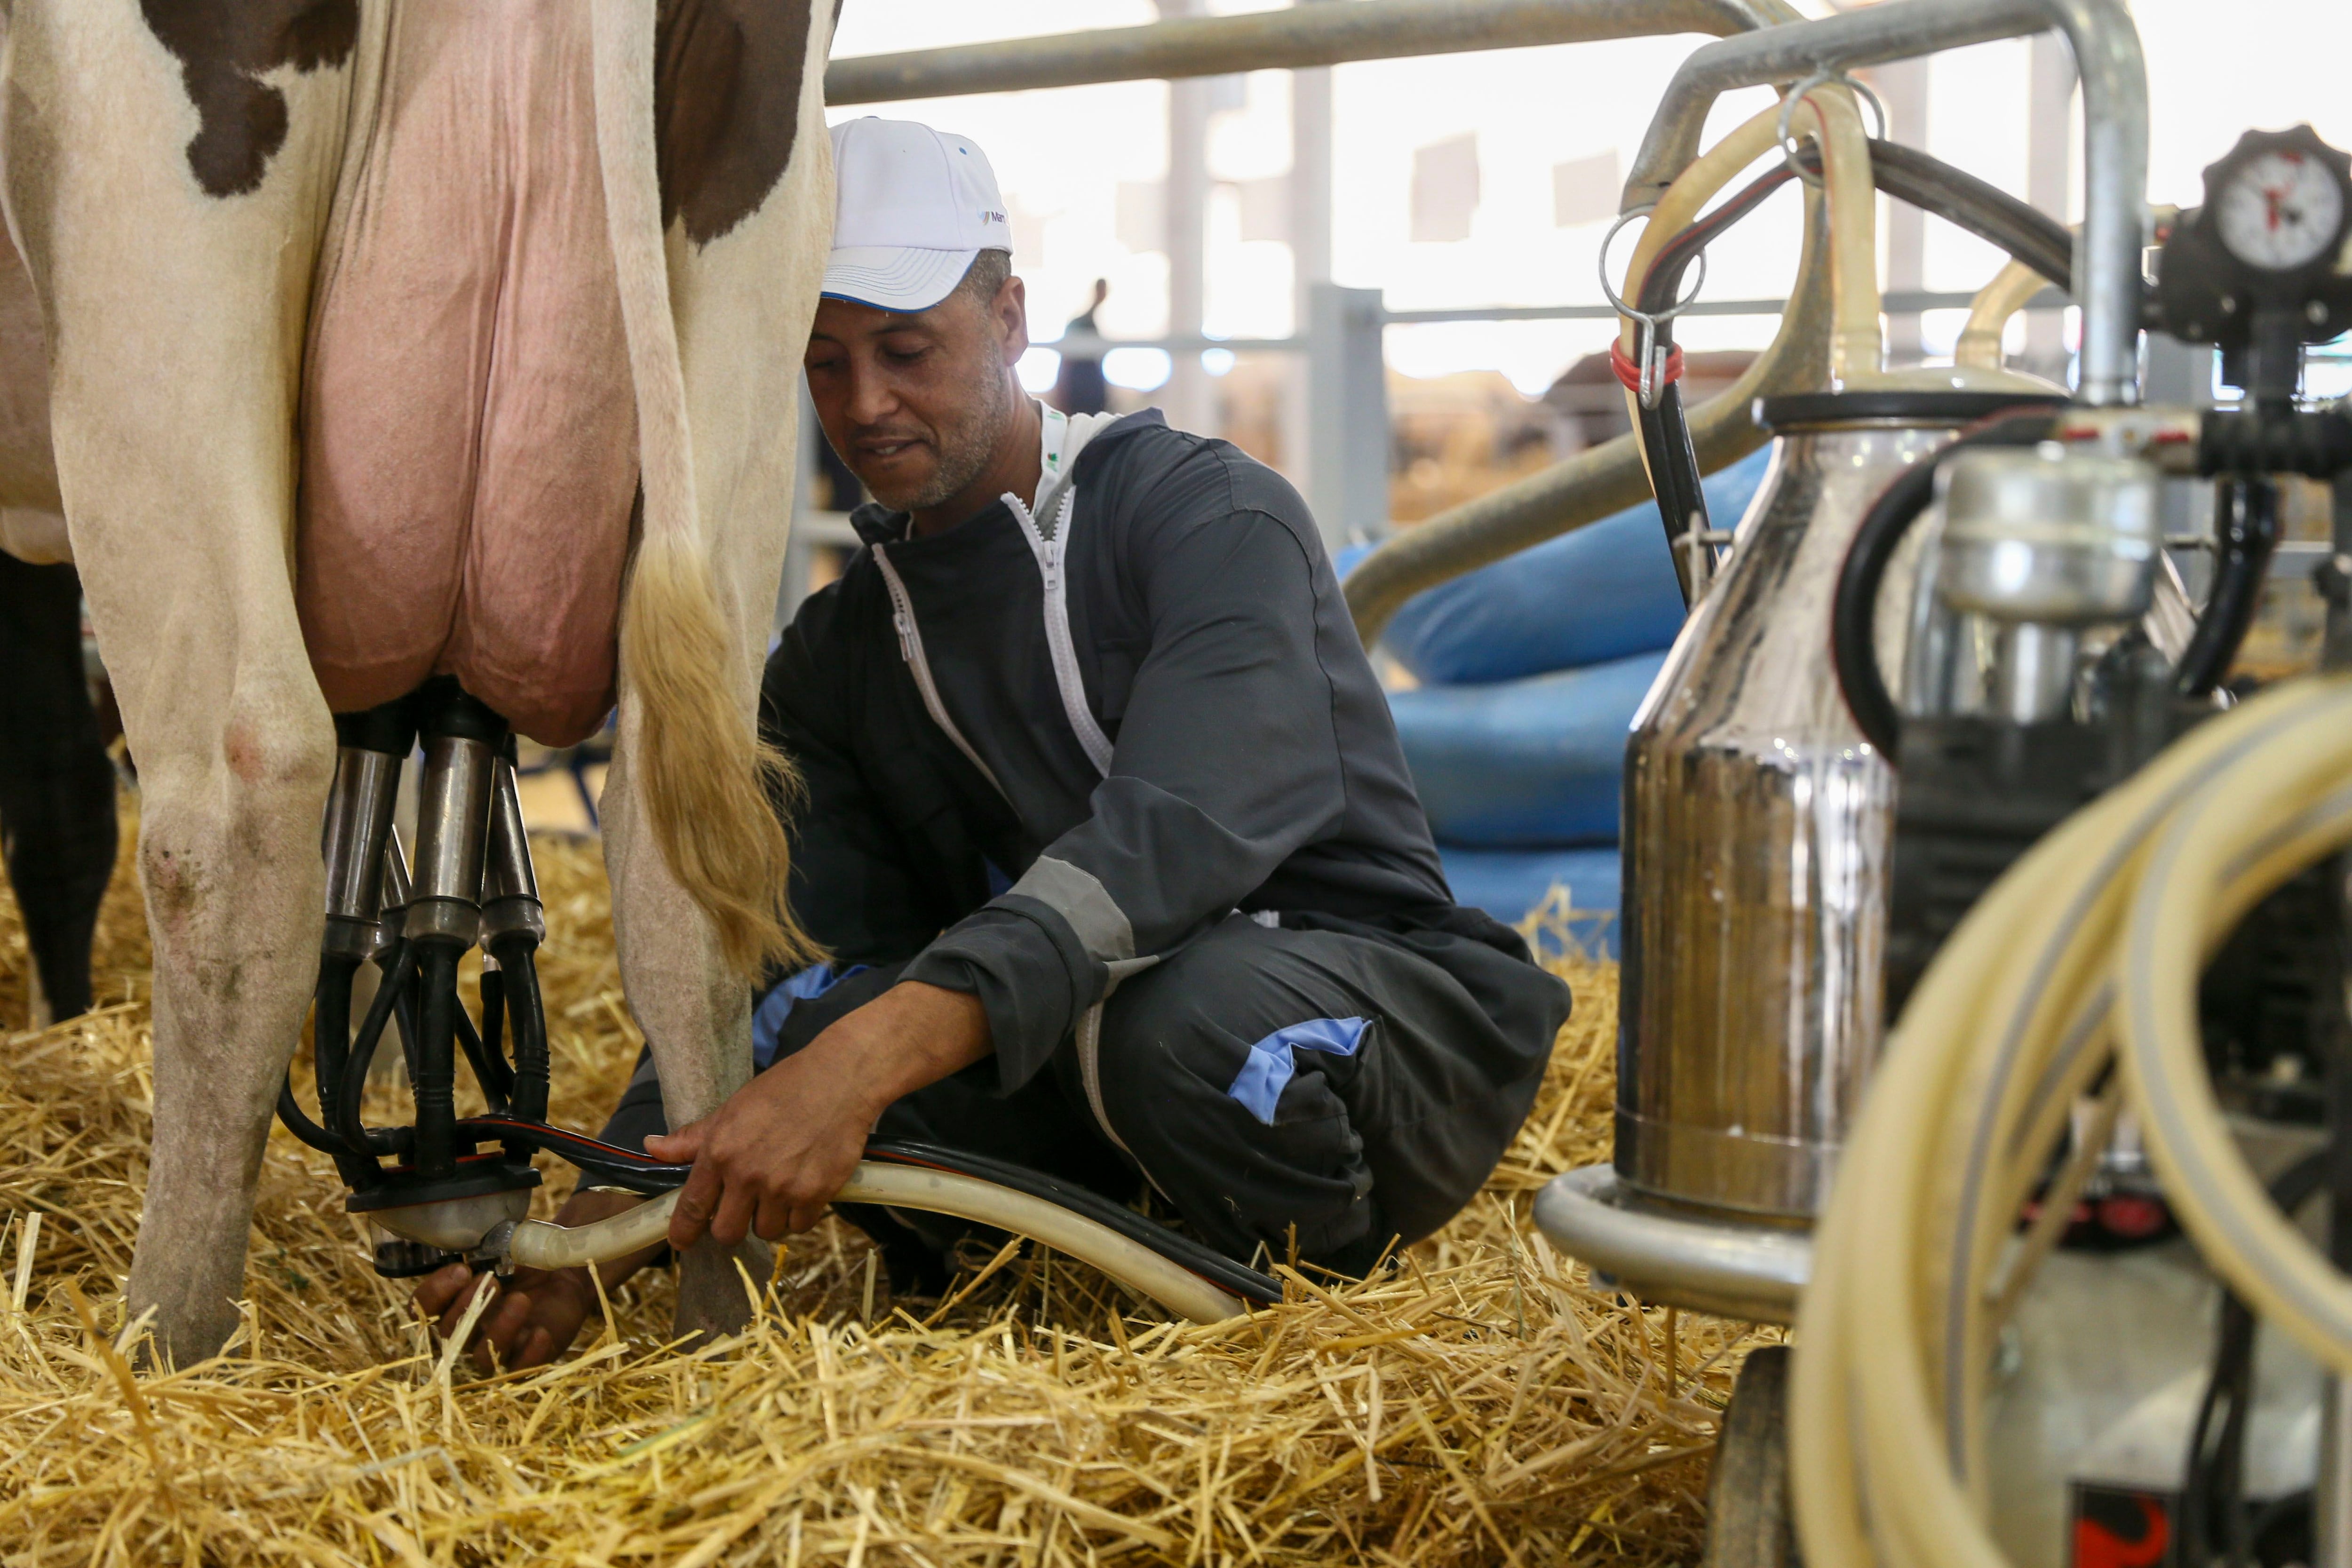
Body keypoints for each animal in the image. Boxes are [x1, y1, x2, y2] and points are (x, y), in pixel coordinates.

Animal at [0, 3, 842, 1363]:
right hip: (746, 281)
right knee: (683, 868)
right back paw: (724, 1322)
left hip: (151, 271)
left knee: (240, 800)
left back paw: (166, 1340)